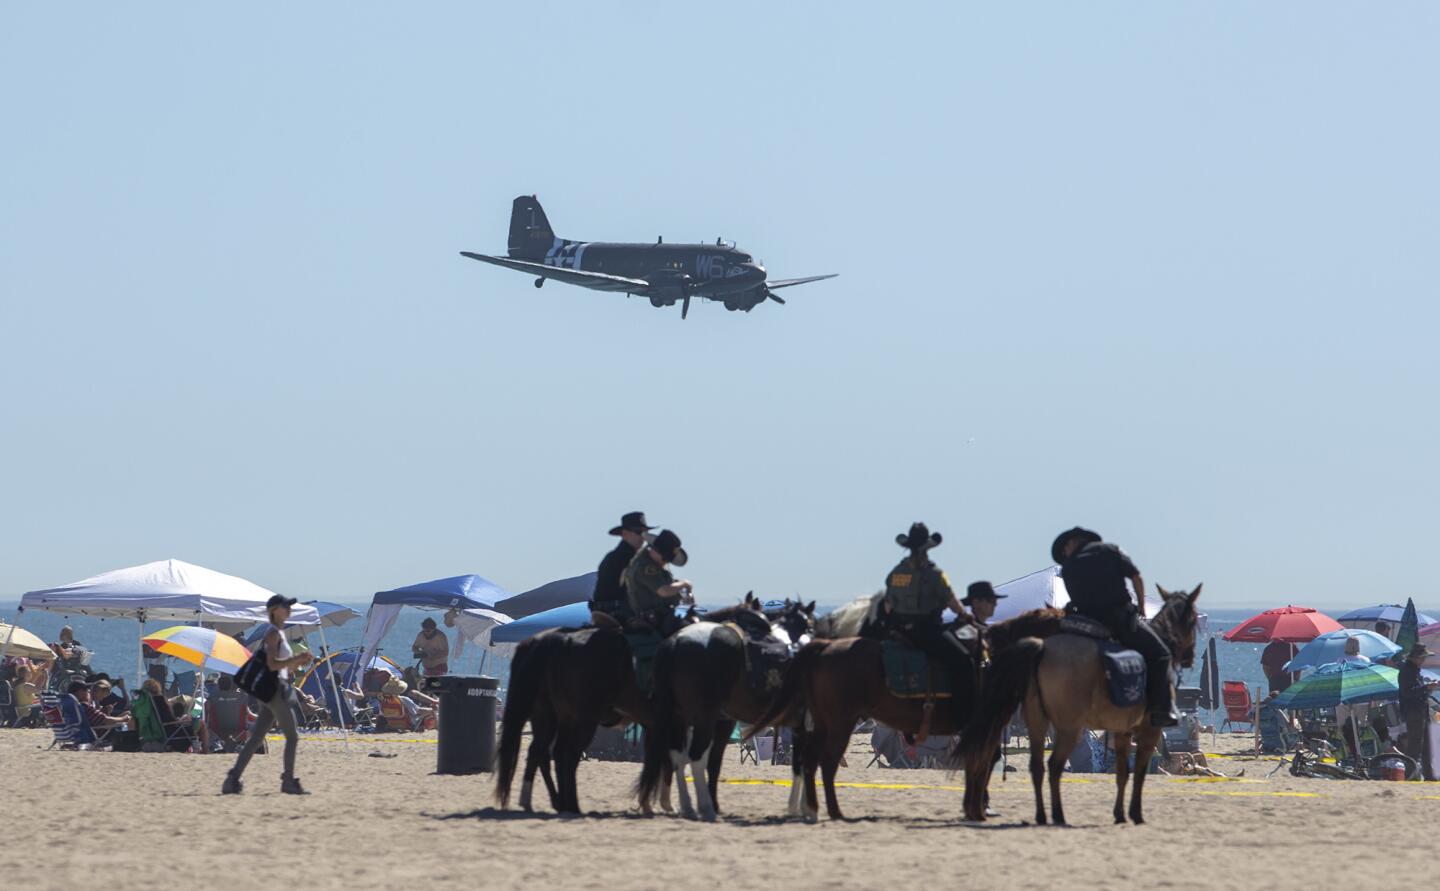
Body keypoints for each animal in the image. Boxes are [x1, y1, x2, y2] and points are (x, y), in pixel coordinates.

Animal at [748, 607, 1065, 823]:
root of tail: (823, 647)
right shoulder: (985, 726)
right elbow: (982, 763)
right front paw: (978, 808)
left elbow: (980, 763)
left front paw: (976, 807)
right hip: (839, 724)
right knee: (824, 763)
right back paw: (830, 811)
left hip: (825, 724)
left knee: (809, 761)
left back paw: (812, 809)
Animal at [956, 584, 1203, 829]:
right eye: (1192, 621)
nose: (1190, 656)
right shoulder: (1149, 730)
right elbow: (1139, 771)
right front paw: (1135, 813)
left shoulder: (1121, 730)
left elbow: (1123, 772)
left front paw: (1120, 814)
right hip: (1067, 728)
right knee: (1048, 765)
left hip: (1035, 722)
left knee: (1031, 765)